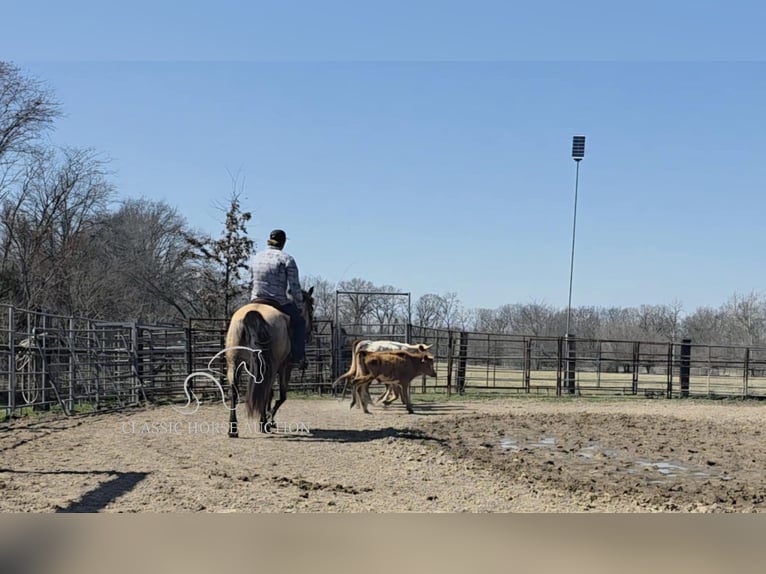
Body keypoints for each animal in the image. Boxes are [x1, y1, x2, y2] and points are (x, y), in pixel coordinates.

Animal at [225, 290, 316, 438]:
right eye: (311, 309)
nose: (310, 335)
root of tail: (253, 313)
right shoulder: (285, 367)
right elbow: (281, 396)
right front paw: (269, 418)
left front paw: (269, 419)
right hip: (272, 368)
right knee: (266, 391)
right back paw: (263, 423)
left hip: (234, 363)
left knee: (234, 391)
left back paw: (233, 429)